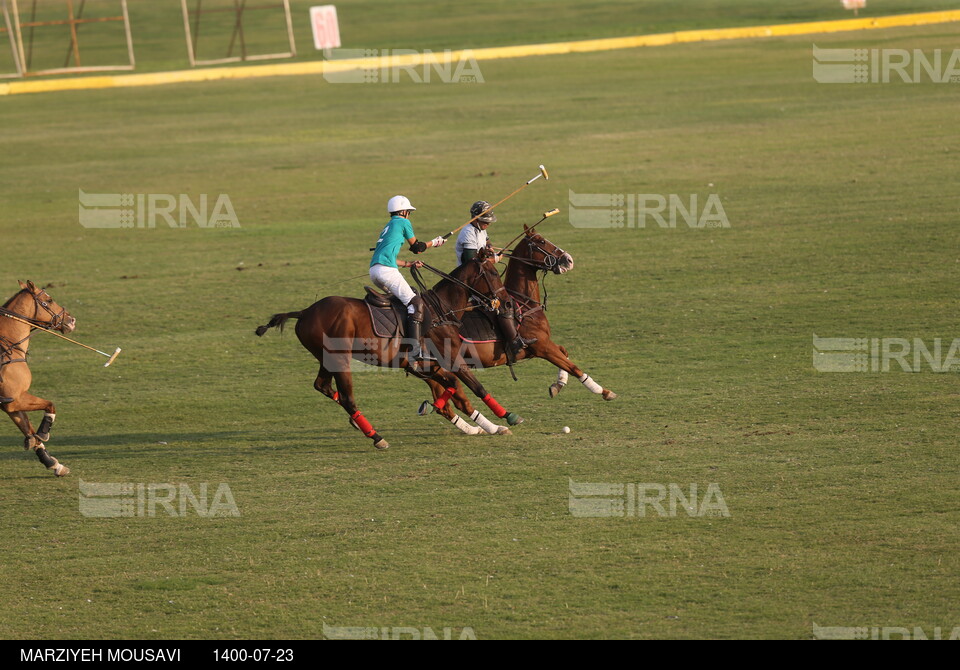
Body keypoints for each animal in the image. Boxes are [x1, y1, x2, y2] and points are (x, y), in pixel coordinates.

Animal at [0, 280, 75, 480]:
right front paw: (43, 433)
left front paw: (55, 464)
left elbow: (28, 430)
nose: (71, 320)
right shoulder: (15, 399)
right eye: (49, 300)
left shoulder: (11, 403)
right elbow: (50, 405)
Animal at [255, 252, 524, 452]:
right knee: (347, 398)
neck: (442, 310)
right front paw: (507, 418)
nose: (508, 303)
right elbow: (476, 387)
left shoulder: (429, 365)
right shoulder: (451, 359)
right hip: (339, 360)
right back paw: (376, 437)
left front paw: (480, 424)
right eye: (492, 273)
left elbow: (453, 389)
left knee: (323, 386)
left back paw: (358, 423)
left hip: (326, 359)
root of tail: (304, 312)